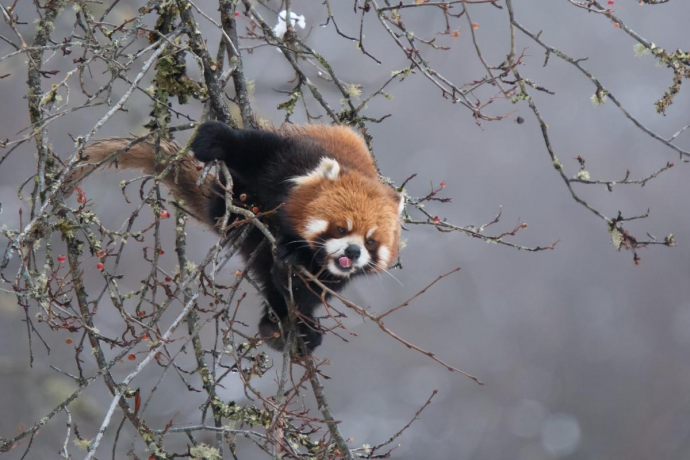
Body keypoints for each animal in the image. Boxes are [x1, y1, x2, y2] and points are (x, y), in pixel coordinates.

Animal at [67, 122, 400, 352]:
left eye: (371, 242)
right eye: (341, 229)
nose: (353, 252)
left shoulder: (329, 274)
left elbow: (311, 291)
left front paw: (293, 276)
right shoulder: (295, 158)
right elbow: (256, 151)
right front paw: (216, 139)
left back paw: (285, 327)